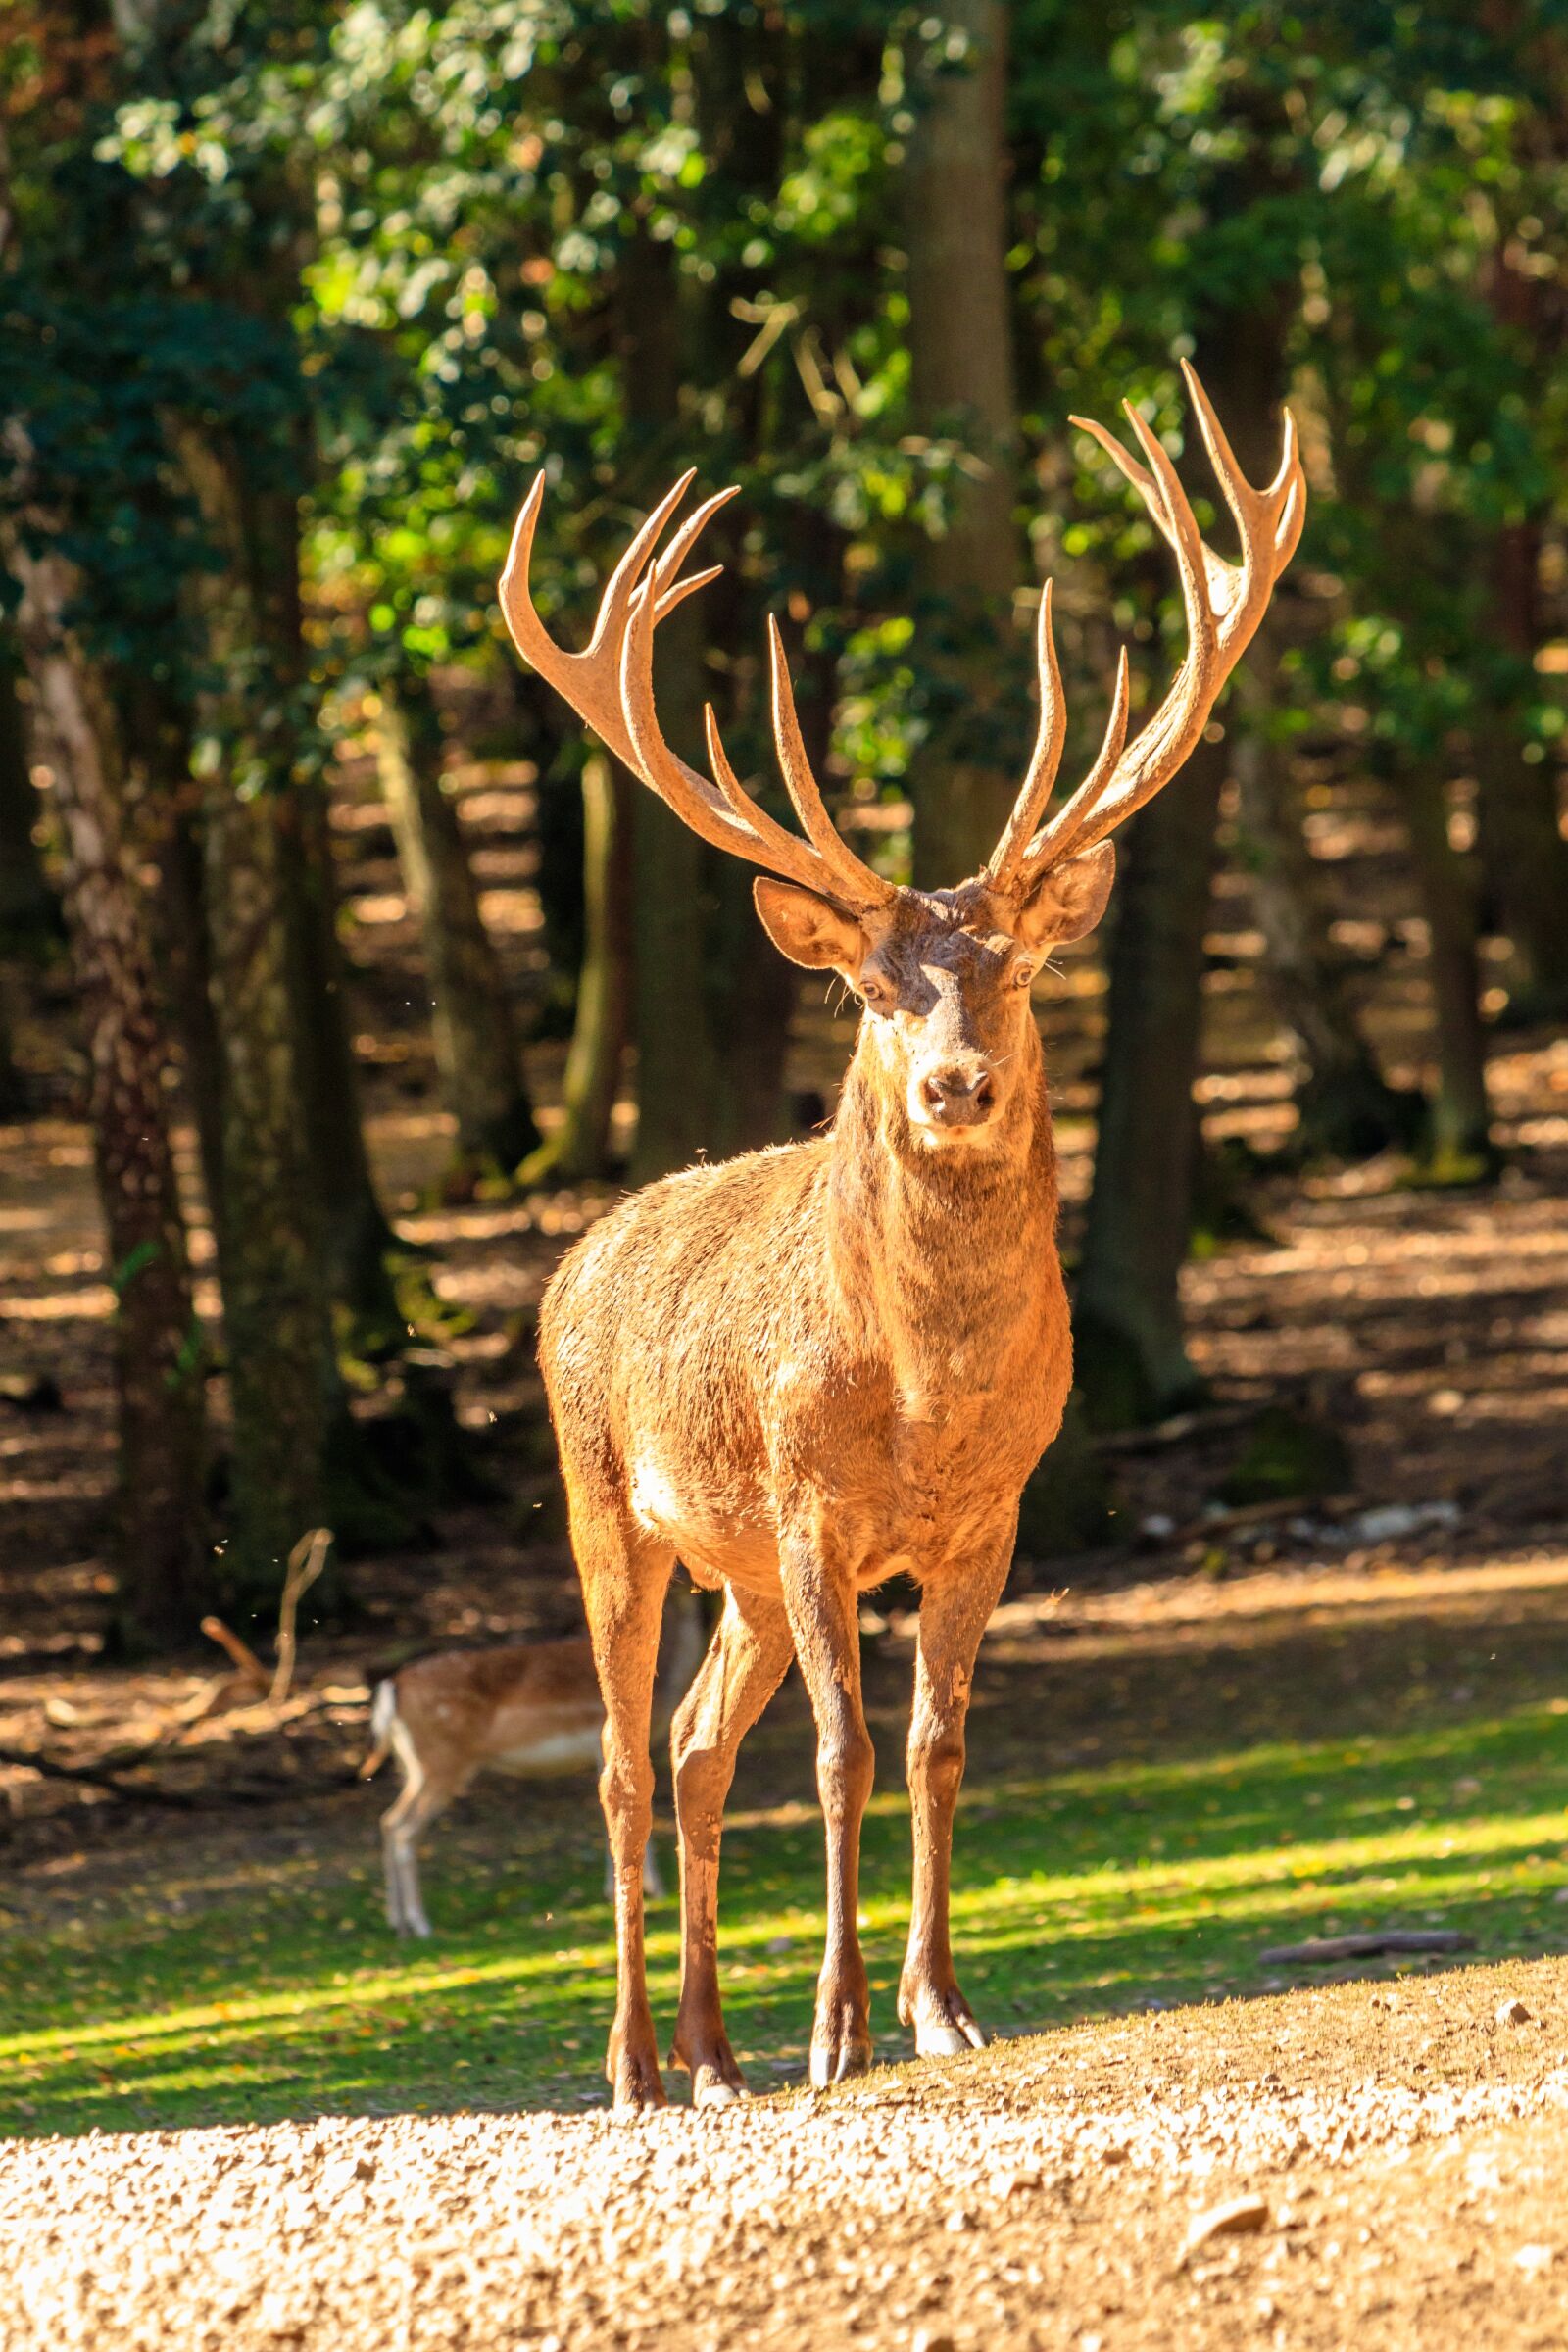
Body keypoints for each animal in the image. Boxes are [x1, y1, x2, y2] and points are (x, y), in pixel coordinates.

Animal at [362, 1582, 706, 1937]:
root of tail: (391, 1687)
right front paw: (651, 1890)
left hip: (411, 1766)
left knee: (389, 1821)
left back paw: (397, 1922)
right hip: (439, 1762)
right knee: (403, 1829)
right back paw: (420, 1924)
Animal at [499, 361, 1305, 2108]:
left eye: (1022, 967)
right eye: (872, 988)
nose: (953, 1083)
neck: (927, 1396)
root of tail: (572, 1261)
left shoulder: (991, 1508)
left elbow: (934, 1743)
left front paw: (938, 2007)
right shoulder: (811, 1506)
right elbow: (843, 1748)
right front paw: (838, 2031)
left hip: (731, 1569)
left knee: (692, 1748)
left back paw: (711, 2057)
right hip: (612, 1502)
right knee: (619, 1764)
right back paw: (634, 2066)